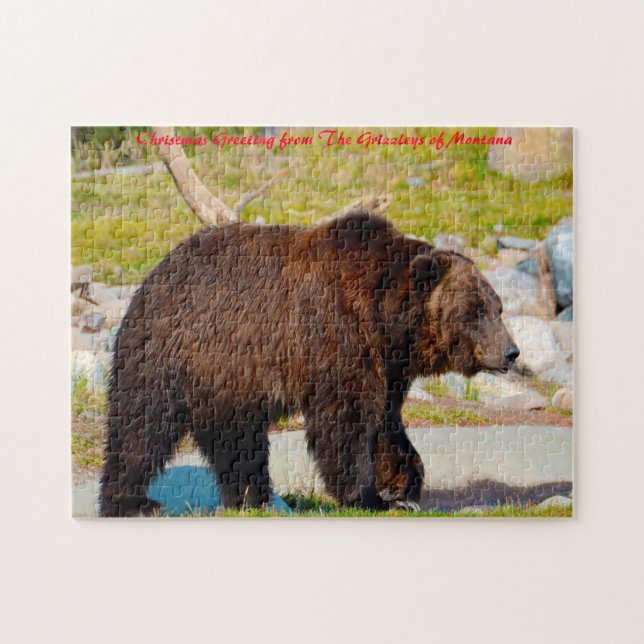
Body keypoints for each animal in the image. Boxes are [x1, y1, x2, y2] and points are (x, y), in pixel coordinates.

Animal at [99, 210, 519, 516]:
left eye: (497, 306)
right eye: (477, 310)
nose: (511, 352)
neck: (385, 319)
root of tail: (153, 274)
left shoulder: (386, 366)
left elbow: (386, 423)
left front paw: (403, 484)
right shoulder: (338, 339)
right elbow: (347, 424)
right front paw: (368, 496)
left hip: (228, 379)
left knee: (237, 441)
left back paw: (252, 497)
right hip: (170, 354)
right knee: (142, 427)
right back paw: (132, 501)